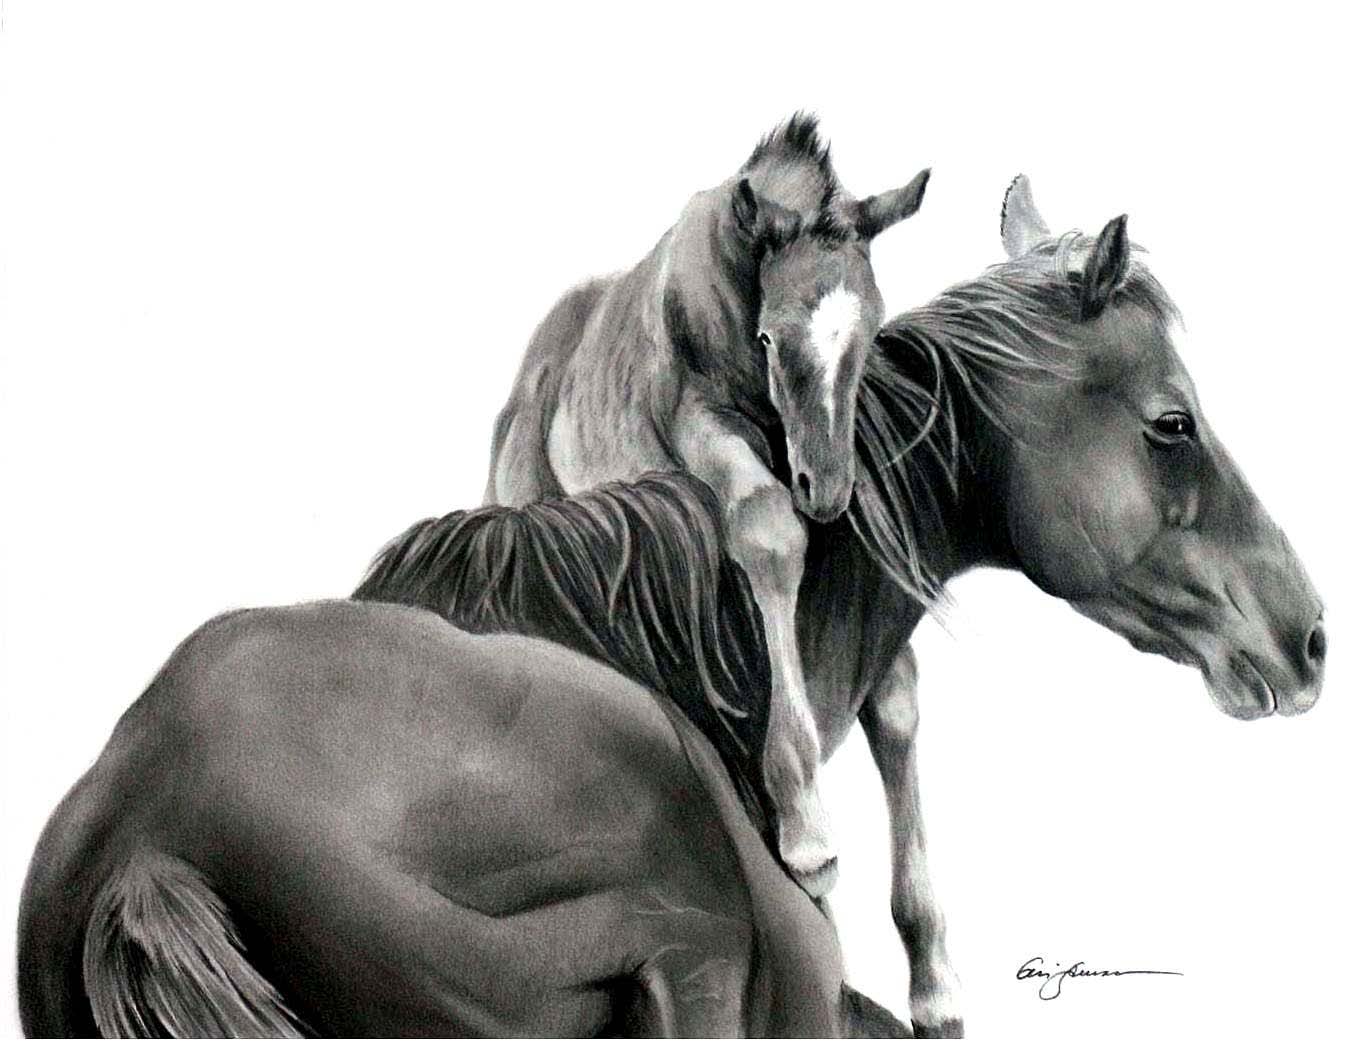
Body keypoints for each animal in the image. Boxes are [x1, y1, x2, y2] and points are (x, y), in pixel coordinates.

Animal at [486, 112, 932, 894]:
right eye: (769, 336)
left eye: (873, 330)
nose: (826, 487)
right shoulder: (702, 425)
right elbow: (766, 528)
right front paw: (806, 827)